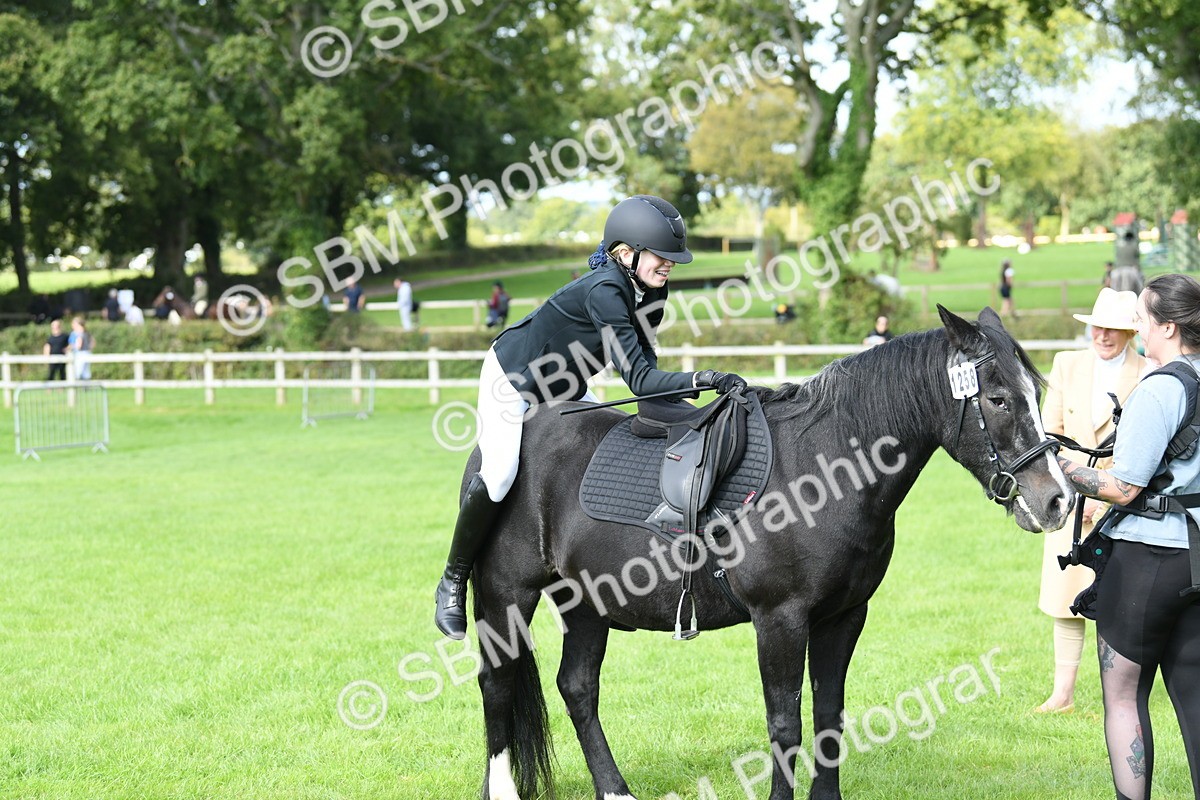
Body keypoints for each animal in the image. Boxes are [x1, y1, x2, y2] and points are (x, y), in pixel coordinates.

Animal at [462, 306, 1074, 800]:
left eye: (1037, 395)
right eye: (998, 399)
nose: (1058, 499)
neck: (823, 471)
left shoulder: (843, 617)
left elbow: (828, 717)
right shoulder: (780, 620)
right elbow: (785, 725)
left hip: (587, 603)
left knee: (578, 688)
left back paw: (615, 790)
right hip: (508, 596)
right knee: (497, 685)